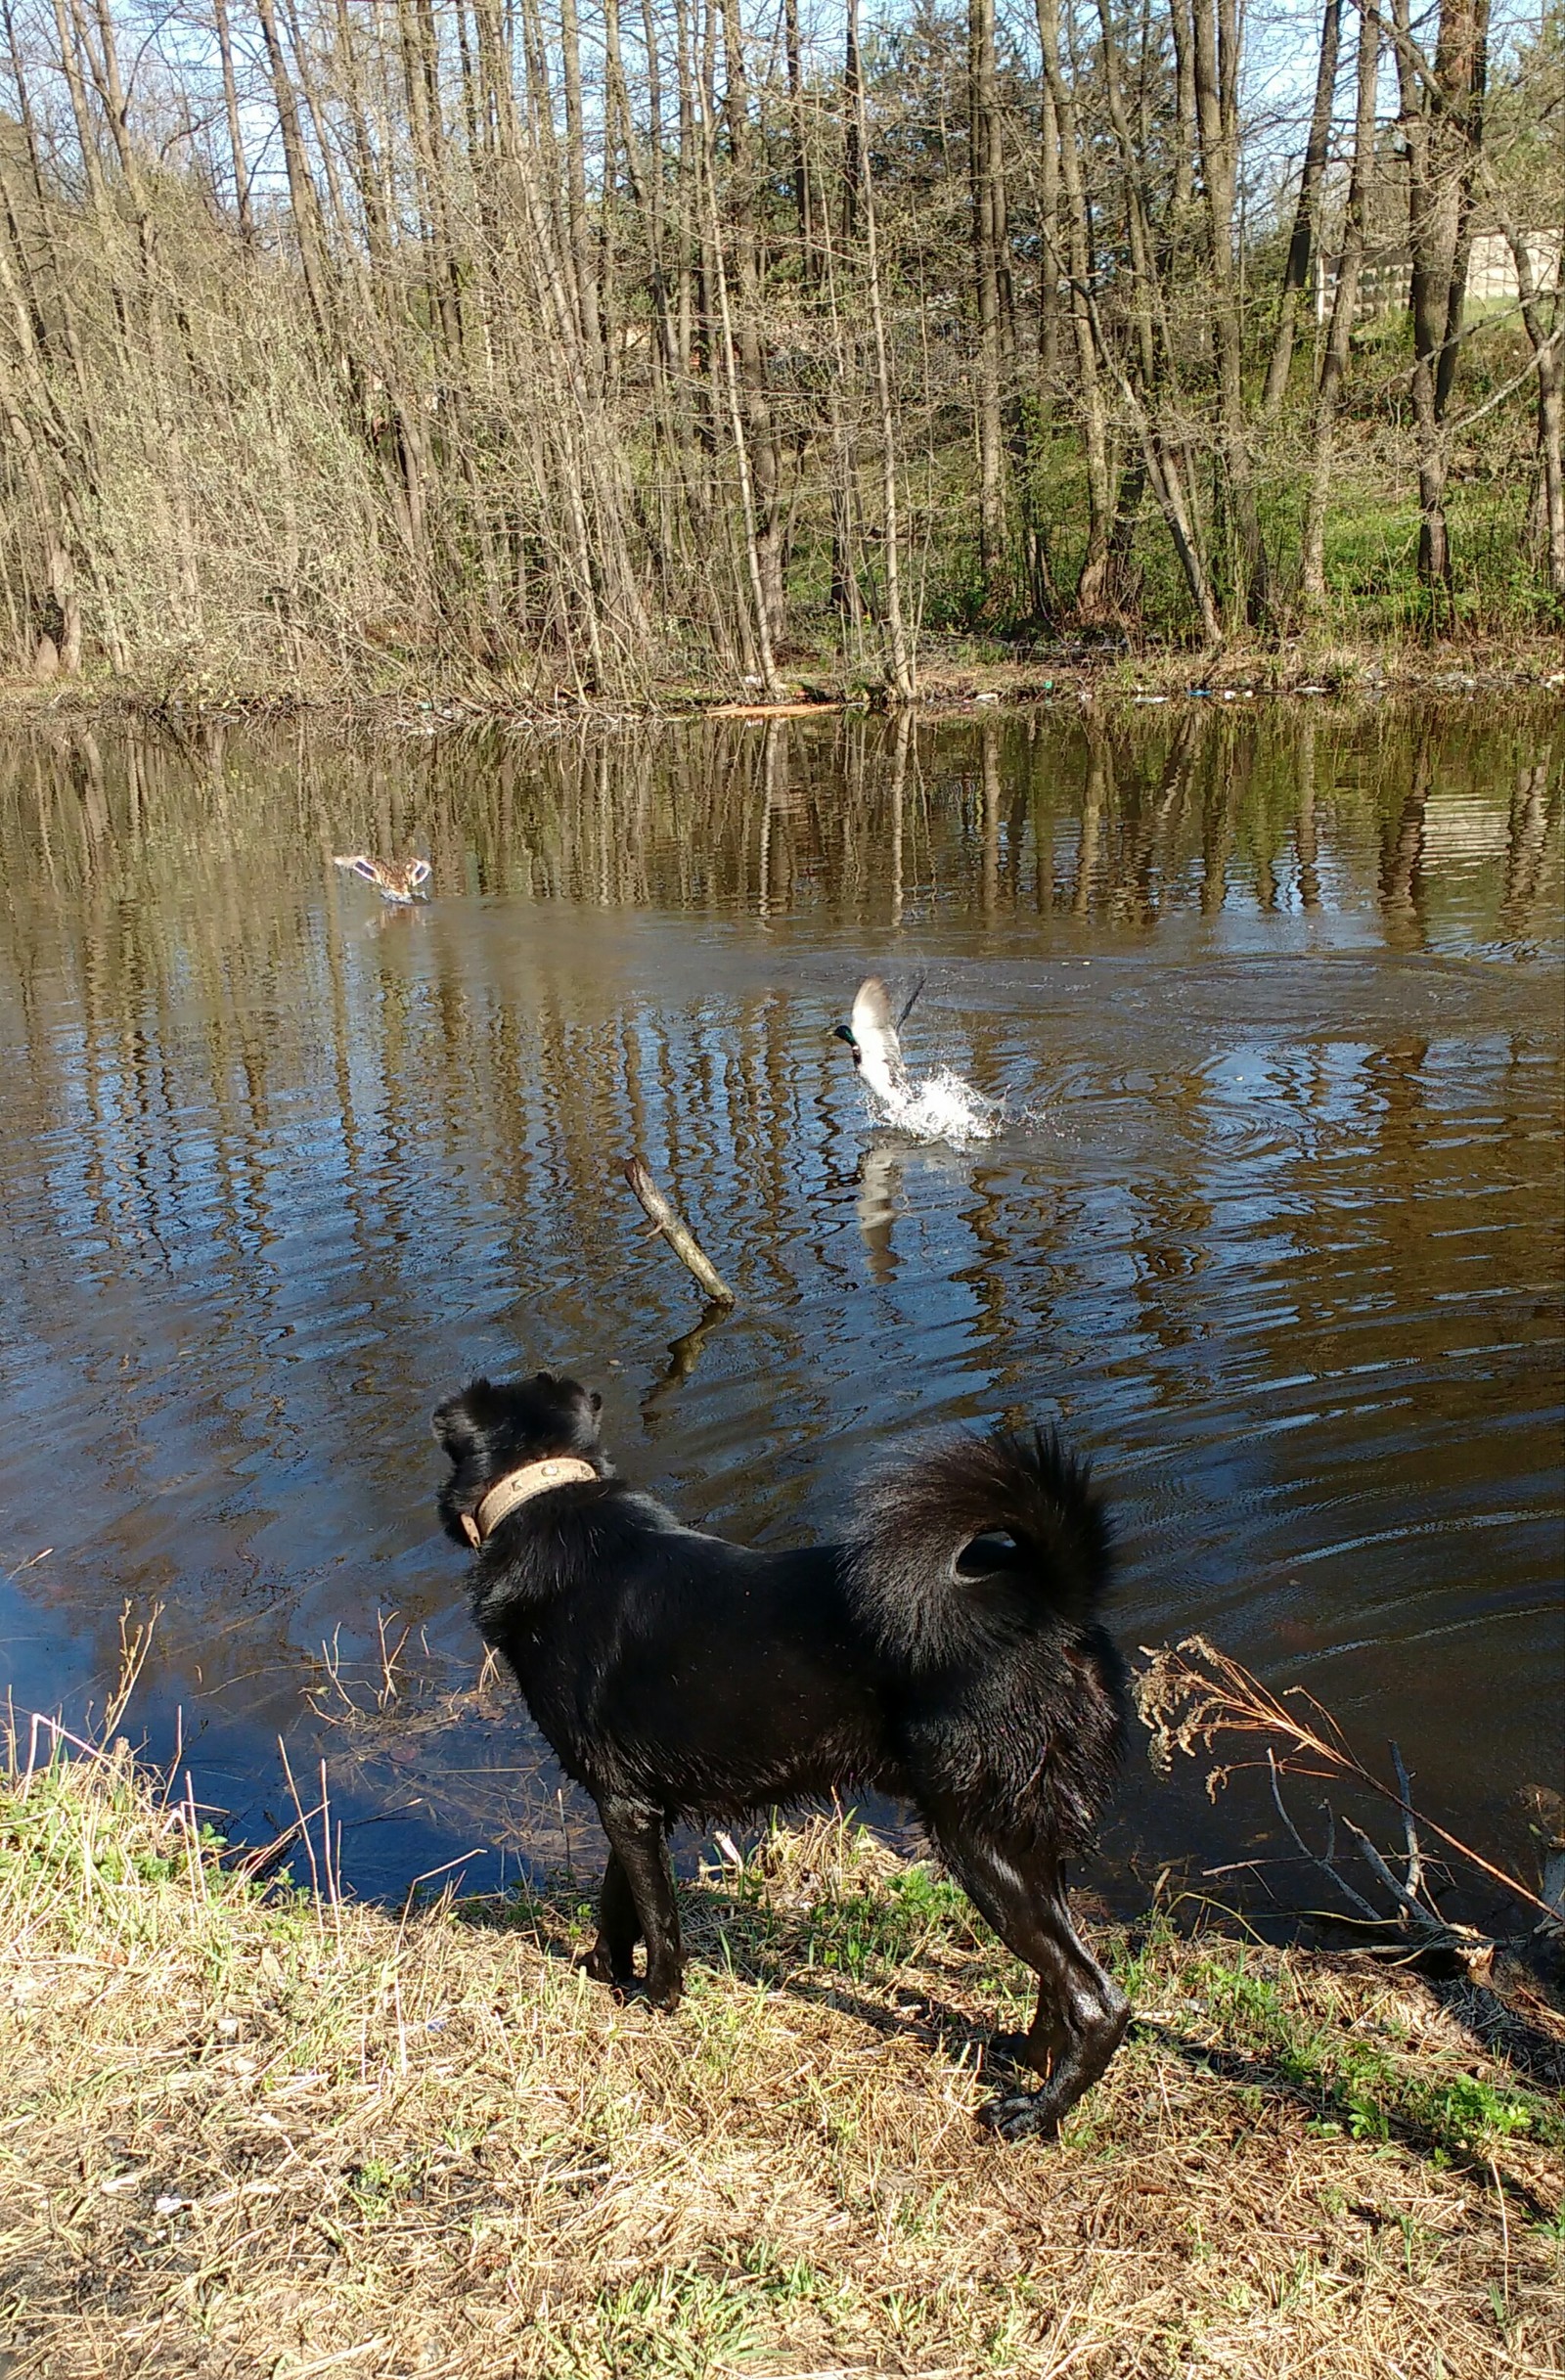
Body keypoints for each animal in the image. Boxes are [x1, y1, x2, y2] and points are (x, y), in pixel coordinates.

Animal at [432, 1380, 1127, 2141]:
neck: (545, 1497)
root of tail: (1049, 1600)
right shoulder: (632, 1803)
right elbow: (621, 1900)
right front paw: (602, 1972)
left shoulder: (621, 1802)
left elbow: (658, 1918)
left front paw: (656, 2001)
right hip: (1029, 1832)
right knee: (1057, 1976)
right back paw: (1024, 2058)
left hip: (976, 1836)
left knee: (1096, 1998)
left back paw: (1035, 2112)